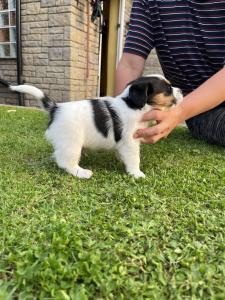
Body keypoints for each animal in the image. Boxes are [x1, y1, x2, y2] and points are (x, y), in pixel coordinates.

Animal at [0, 75, 183, 178]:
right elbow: (134, 159)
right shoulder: (130, 142)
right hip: (72, 144)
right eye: (168, 89)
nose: (181, 90)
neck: (132, 105)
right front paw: (136, 174)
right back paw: (82, 172)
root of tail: (55, 108)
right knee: (65, 162)